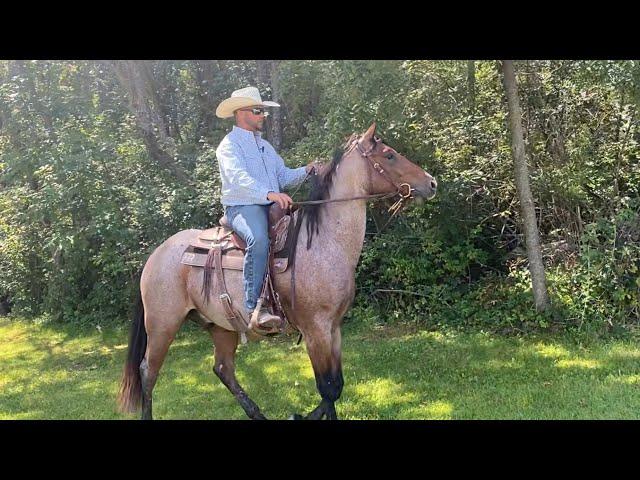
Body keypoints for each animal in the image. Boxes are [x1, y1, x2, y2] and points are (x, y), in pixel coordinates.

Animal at [117, 124, 438, 420]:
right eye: (389, 155)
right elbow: (328, 387)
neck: (323, 243)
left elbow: (336, 386)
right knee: (148, 371)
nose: (432, 182)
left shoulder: (334, 328)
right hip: (162, 324)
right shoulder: (315, 329)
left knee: (223, 369)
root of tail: (156, 255)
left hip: (220, 326)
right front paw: (301, 415)